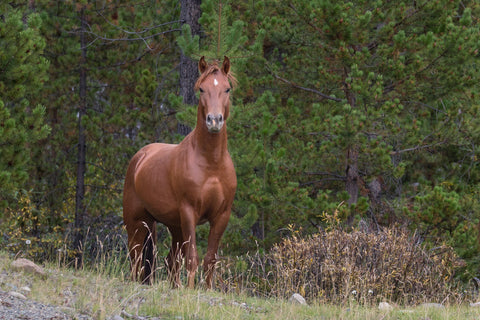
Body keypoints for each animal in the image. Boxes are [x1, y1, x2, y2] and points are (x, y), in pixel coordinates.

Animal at [123, 56, 237, 288]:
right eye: (201, 89)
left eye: (227, 89)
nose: (214, 120)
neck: (211, 165)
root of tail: (140, 157)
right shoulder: (189, 212)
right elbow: (193, 258)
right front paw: (190, 290)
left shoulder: (221, 216)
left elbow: (210, 260)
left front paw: (207, 289)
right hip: (136, 222)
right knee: (136, 257)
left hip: (173, 226)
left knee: (170, 261)